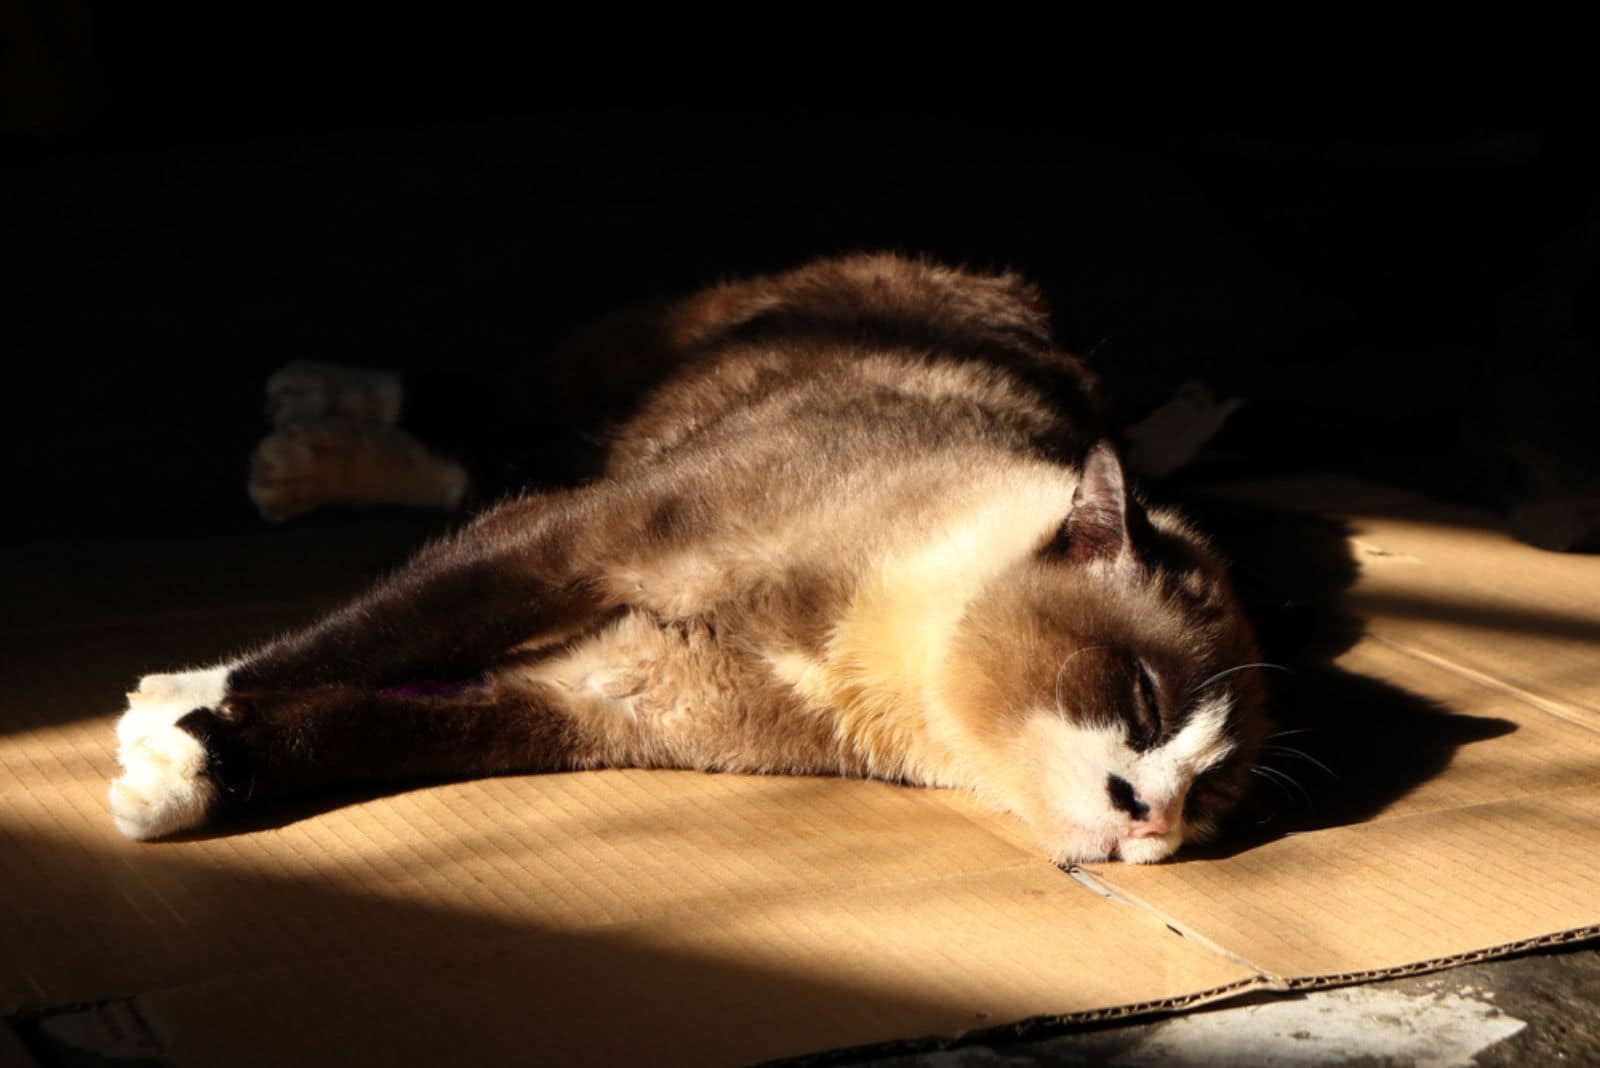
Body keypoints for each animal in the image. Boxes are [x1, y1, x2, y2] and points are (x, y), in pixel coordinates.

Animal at [106, 254, 1267, 863]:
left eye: (1208, 798)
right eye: (1143, 700)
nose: (1152, 815)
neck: (867, 644)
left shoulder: (598, 703)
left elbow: (371, 724)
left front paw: (182, 775)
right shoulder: (587, 540)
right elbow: (373, 633)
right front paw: (172, 705)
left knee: (474, 467)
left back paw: (303, 456)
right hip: (615, 362)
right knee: (481, 410)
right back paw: (312, 412)